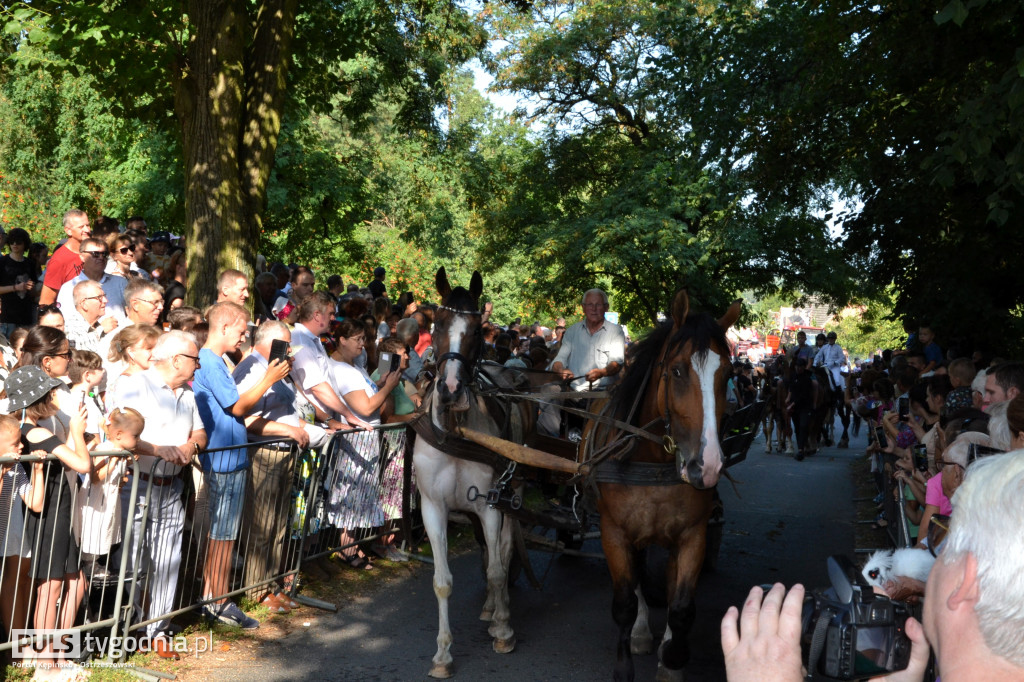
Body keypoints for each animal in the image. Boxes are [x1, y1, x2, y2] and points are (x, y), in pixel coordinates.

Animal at [589, 290, 741, 679]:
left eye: (729, 373)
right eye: (677, 371)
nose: (708, 465)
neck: (652, 460)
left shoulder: (693, 535)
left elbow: (681, 605)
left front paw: (672, 658)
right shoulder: (614, 532)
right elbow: (625, 603)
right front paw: (626, 661)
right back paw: (642, 632)